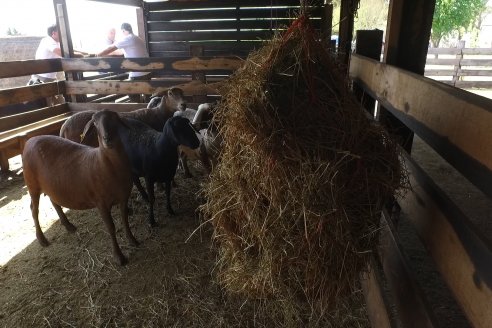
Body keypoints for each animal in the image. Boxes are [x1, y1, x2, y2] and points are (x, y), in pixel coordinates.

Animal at [21, 109, 136, 266]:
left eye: (115, 118)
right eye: (95, 123)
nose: (107, 138)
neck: (104, 163)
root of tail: (30, 141)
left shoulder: (124, 197)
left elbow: (125, 220)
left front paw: (132, 239)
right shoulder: (101, 203)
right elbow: (111, 228)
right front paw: (119, 256)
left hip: (52, 185)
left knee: (54, 202)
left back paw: (68, 225)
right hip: (32, 185)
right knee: (34, 209)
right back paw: (42, 239)